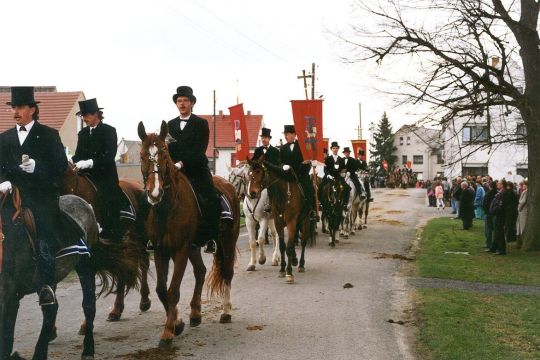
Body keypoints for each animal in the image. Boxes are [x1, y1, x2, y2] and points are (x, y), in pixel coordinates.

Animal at [137, 121, 238, 348]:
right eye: (142, 155)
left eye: (164, 155)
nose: (154, 193)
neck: (167, 207)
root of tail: (229, 185)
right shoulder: (161, 250)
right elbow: (161, 289)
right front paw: (178, 323)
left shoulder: (181, 250)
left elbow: (173, 290)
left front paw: (167, 333)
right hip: (194, 247)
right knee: (200, 271)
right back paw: (195, 314)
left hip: (227, 239)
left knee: (227, 273)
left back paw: (226, 312)